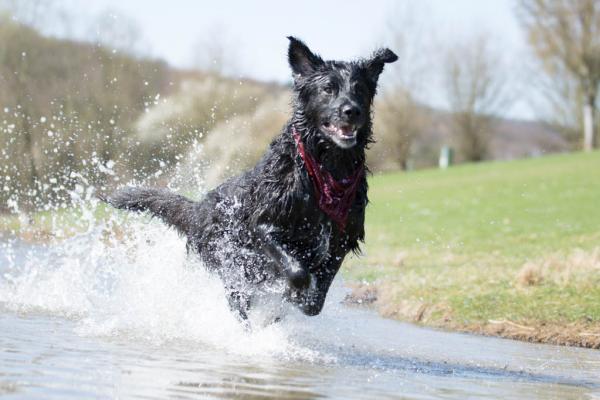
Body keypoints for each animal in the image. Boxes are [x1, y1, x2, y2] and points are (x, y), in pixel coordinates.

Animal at [105, 37, 396, 322]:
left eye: (360, 89)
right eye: (328, 88)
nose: (351, 111)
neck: (326, 169)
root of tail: (199, 209)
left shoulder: (341, 239)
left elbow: (317, 297)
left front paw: (302, 300)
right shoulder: (264, 224)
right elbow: (297, 272)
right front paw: (293, 291)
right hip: (229, 263)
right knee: (239, 299)